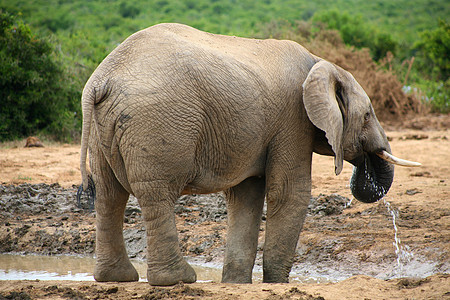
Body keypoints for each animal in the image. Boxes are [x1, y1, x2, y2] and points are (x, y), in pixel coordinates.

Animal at [79, 22, 420, 284]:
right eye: (368, 116)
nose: (366, 163)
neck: (321, 62)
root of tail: (101, 78)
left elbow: (246, 195)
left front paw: (236, 283)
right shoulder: (293, 120)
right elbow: (289, 192)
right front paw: (277, 284)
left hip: (103, 128)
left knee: (109, 195)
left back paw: (116, 278)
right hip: (156, 120)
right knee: (156, 193)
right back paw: (177, 280)